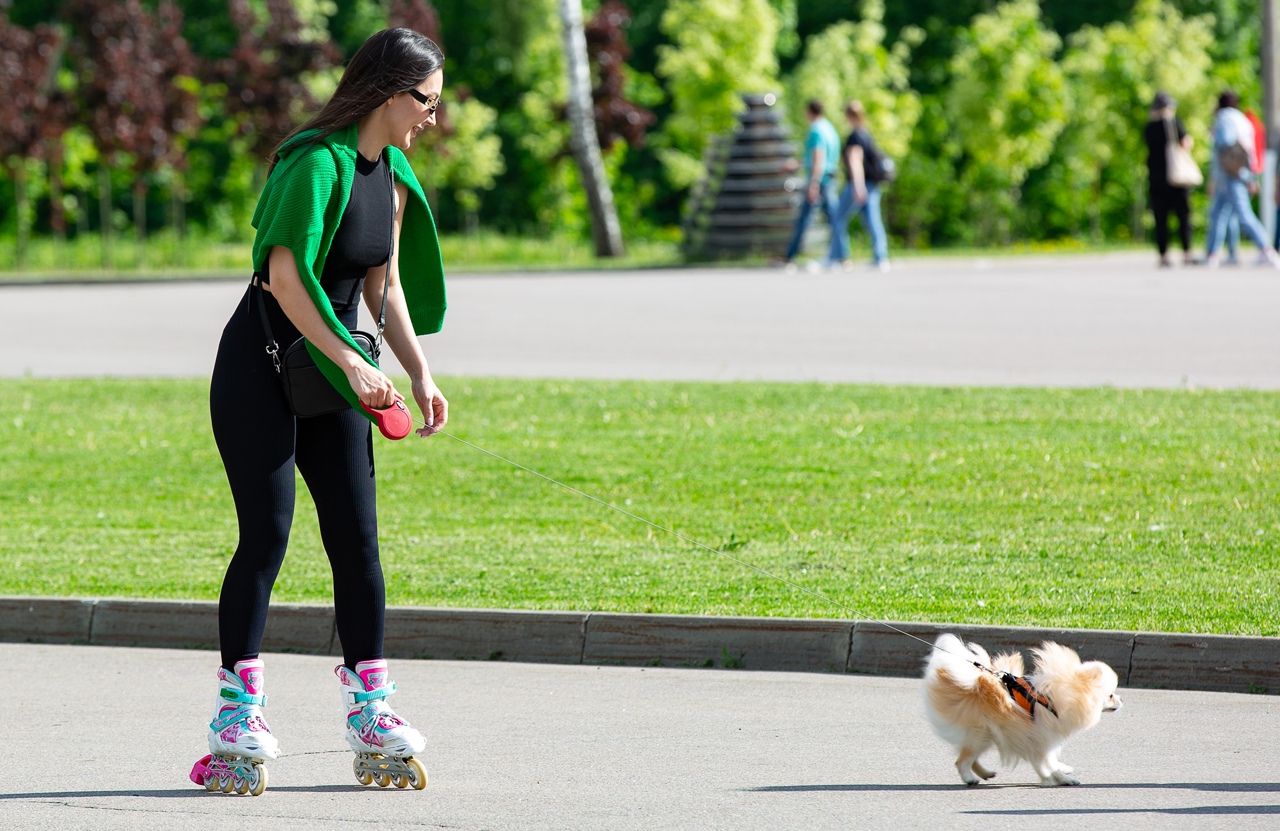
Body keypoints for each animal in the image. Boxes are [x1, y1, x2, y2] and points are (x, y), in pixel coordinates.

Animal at [921, 632, 1121, 788]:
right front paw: (1063, 779)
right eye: (1111, 695)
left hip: (988, 735)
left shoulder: (1038, 738)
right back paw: (969, 778)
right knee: (962, 760)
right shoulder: (1042, 737)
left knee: (970, 756)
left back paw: (985, 773)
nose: (1121, 699)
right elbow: (1047, 762)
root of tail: (971, 683)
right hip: (981, 733)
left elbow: (1047, 762)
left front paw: (1056, 774)